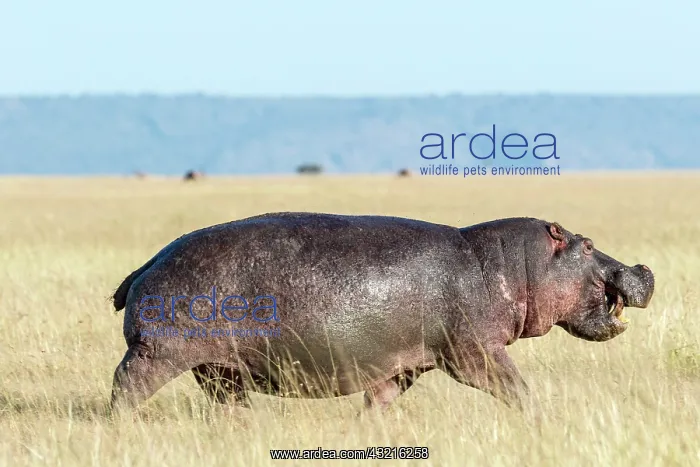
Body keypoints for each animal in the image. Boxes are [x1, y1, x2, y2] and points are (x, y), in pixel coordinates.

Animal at [109, 213, 655, 414]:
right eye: (588, 245)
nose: (643, 268)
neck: (511, 264)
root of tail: (147, 262)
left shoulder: (405, 364)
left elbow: (381, 400)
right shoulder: (474, 351)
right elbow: (514, 386)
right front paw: (541, 417)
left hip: (218, 367)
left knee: (226, 399)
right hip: (158, 352)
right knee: (125, 383)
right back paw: (122, 423)